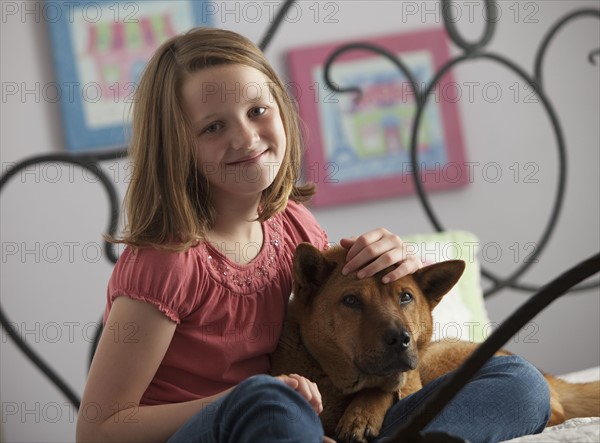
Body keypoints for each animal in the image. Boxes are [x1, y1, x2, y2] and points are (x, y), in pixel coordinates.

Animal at [270, 245, 600, 443]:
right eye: (351, 301)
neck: (336, 384)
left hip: (438, 359)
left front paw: (362, 414)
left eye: (405, 297)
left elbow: (383, 388)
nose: (400, 339)